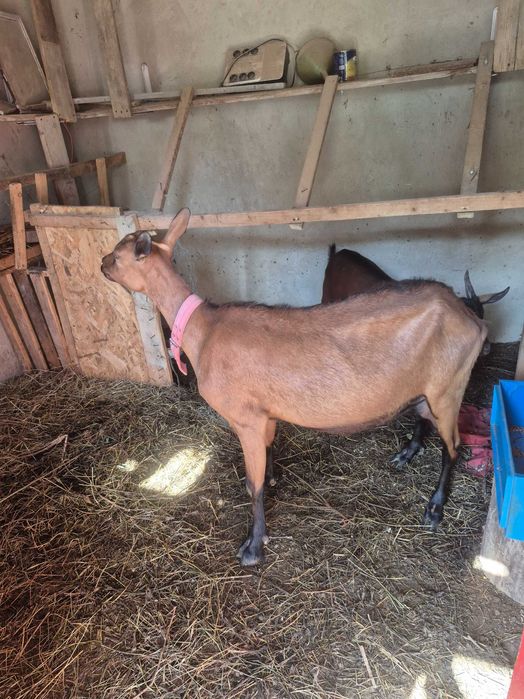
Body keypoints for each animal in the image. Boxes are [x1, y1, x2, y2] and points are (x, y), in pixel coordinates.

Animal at [101, 210, 487, 566]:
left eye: (118, 255)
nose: (102, 264)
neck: (204, 332)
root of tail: (473, 320)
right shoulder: (265, 414)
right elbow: (267, 457)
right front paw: (273, 480)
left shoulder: (245, 418)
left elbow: (253, 485)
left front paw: (253, 547)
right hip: (429, 388)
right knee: (425, 417)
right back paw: (406, 453)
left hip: (449, 387)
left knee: (453, 447)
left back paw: (435, 509)